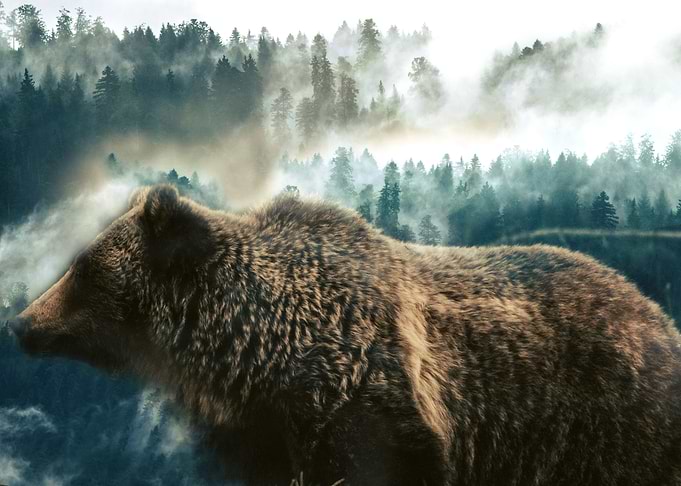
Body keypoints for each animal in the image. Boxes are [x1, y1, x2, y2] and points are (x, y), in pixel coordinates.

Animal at [10, 184, 681, 485]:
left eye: (82, 266)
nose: (21, 322)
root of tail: (656, 311)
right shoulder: (261, 432)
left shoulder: (368, 405)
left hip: (605, 427)